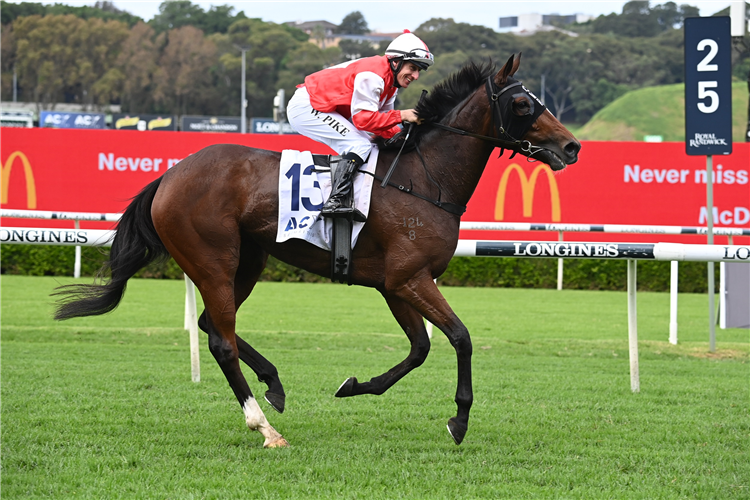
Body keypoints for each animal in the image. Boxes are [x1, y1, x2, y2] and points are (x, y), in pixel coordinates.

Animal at [55, 53, 580, 446]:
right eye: (522, 103)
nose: (572, 147)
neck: (424, 177)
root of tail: (170, 175)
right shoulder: (409, 278)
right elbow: (461, 337)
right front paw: (460, 420)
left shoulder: (395, 284)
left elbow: (419, 348)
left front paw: (354, 386)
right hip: (213, 260)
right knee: (221, 339)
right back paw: (264, 427)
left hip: (248, 260)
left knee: (213, 324)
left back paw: (274, 384)